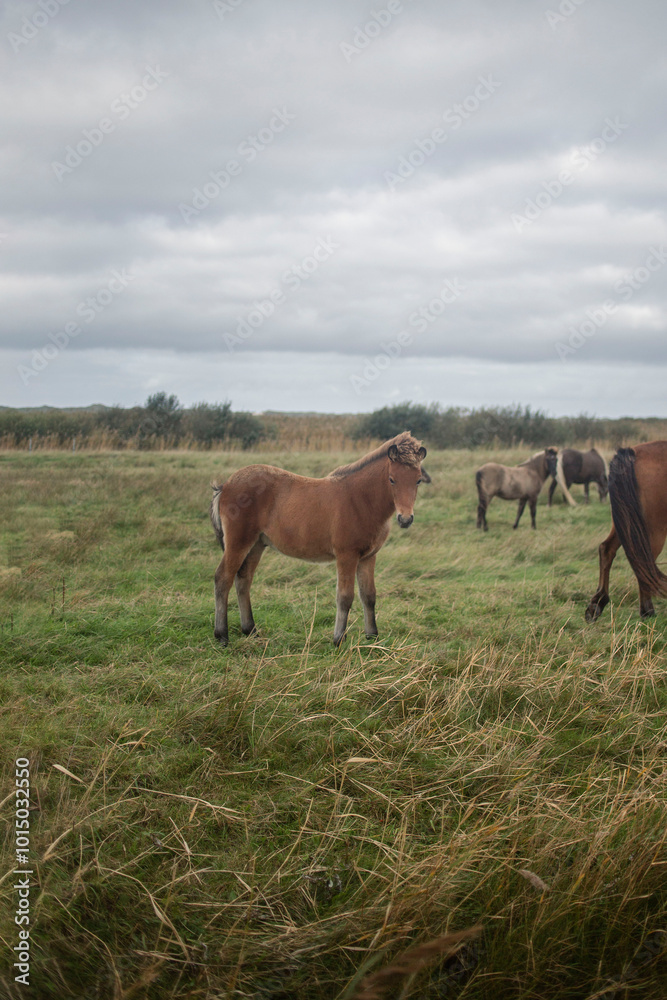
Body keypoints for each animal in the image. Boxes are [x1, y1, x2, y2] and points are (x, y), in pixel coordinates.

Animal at [210, 432, 429, 647]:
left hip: (257, 544)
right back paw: (222, 636)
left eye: (418, 480)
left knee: (243, 579)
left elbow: (369, 595)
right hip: (238, 541)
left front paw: (372, 637)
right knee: (223, 578)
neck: (360, 500)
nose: (405, 519)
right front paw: (339, 639)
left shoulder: (369, 556)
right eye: (392, 479)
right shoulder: (347, 555)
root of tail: (226, 485)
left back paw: (251, 630)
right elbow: (345, 596)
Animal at [585, 441, 667, 621]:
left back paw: (597, 603)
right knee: (645, 563)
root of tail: (632, 453)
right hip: (650, 527)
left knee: (607, 549)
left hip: (626, 522)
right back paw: (647, 611)